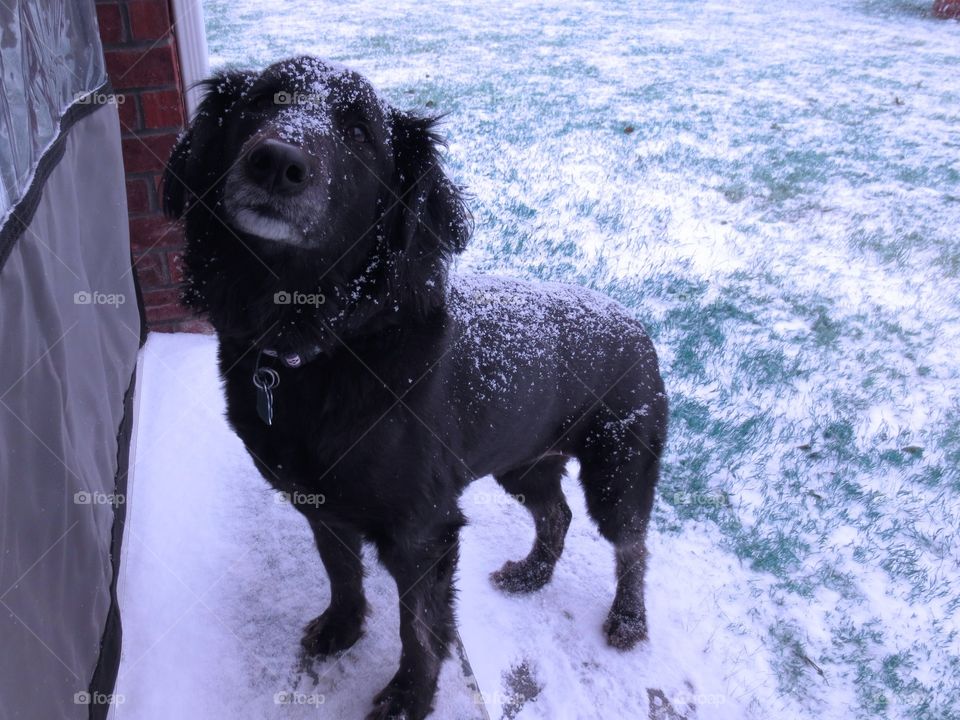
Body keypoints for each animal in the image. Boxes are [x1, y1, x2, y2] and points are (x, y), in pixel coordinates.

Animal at [161, 57, 664, 720]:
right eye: (263, 101)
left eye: (360, 133)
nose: (275, 161)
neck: (323, 347)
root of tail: (634, 322)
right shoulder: (323, 504)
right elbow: (341, 572)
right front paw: (341, 629)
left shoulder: (423, 532)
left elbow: (420, 629)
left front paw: (407, 698)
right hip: (524, 462)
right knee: (555, 514)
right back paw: (530, 575)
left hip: (618, 471)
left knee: (631, 545)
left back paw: (628, 620)